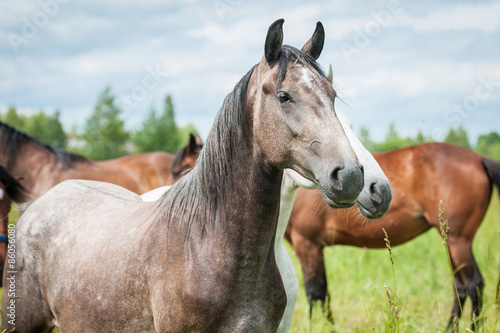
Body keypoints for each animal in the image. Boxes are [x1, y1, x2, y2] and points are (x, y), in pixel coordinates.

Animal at [286, 141, 500, 330]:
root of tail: (479, 158)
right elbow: (324, 292)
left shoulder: (307, 244)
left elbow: (315, 292)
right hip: (451, 242)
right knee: (461, 286)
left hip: (458, 241)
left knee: (474, 284)